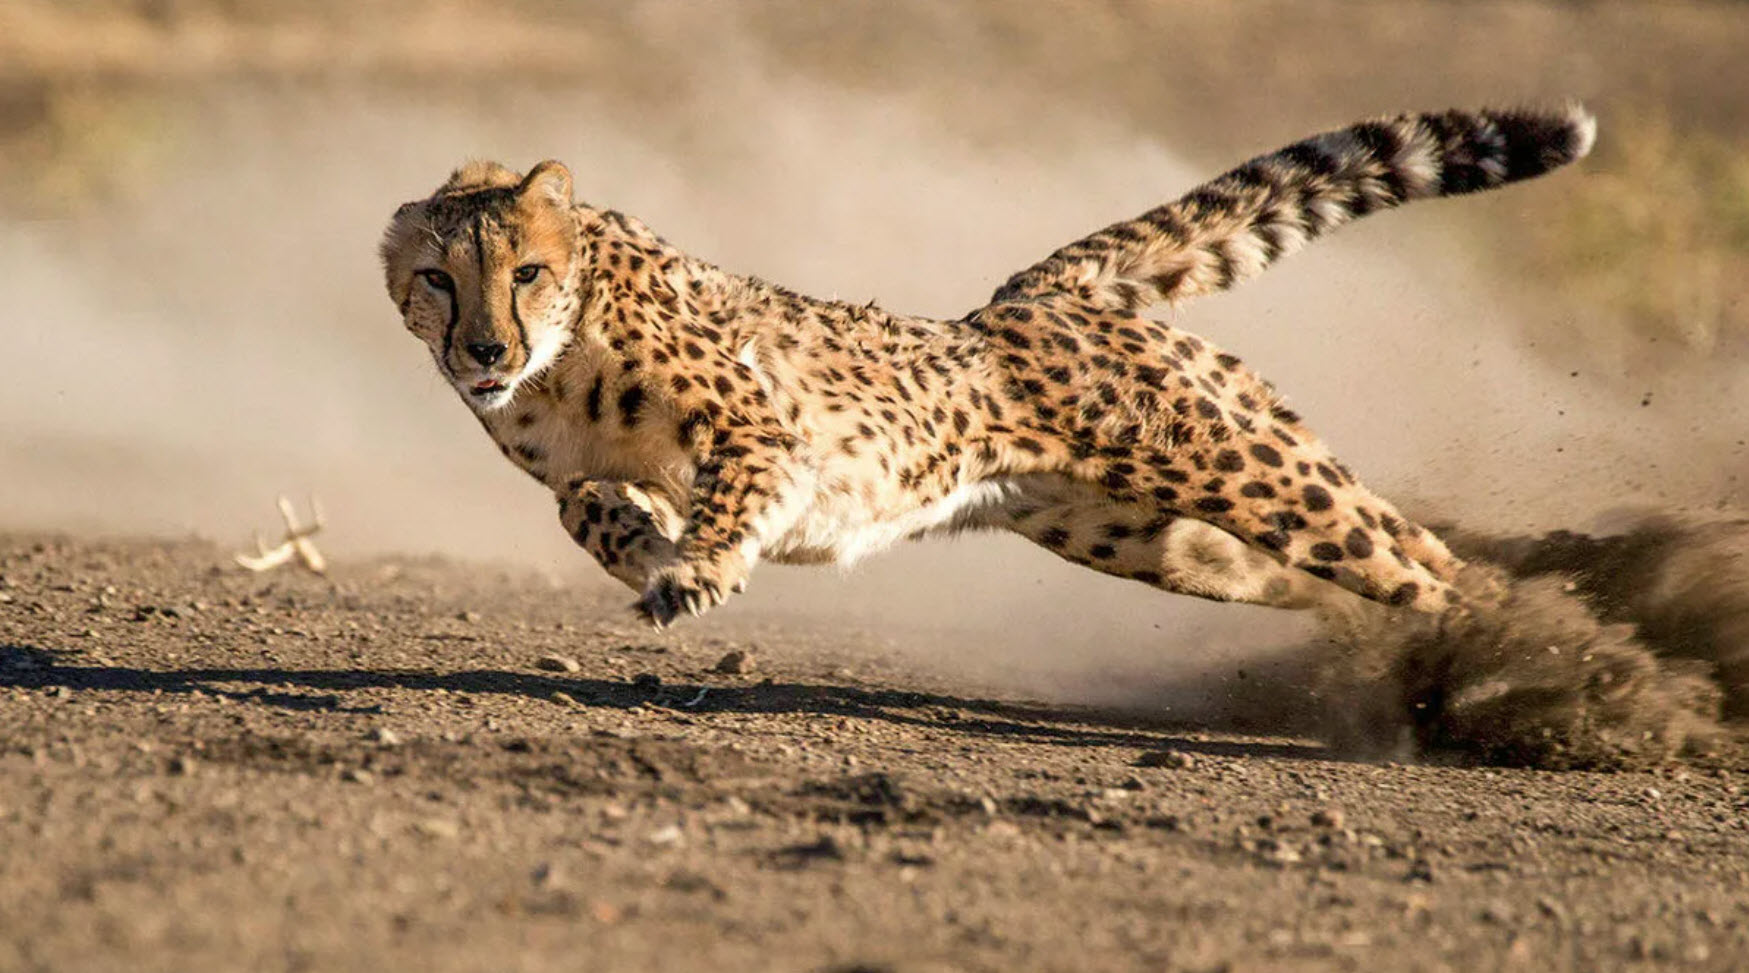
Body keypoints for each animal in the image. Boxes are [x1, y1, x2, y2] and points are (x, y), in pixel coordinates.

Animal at [380, 104, 1595, 629]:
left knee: (1417, 560)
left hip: (1238, 470)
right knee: (1375, 563)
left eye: (525, 271)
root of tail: (1035, 294)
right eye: (436, 279)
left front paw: (694, 569)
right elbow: (582, 505)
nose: (484, 347)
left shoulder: (764, 434)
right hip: (1152, 536)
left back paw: (1541, 647)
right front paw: (643, 549)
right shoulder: (593, 465)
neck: (558, 362)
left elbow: (724, 496)